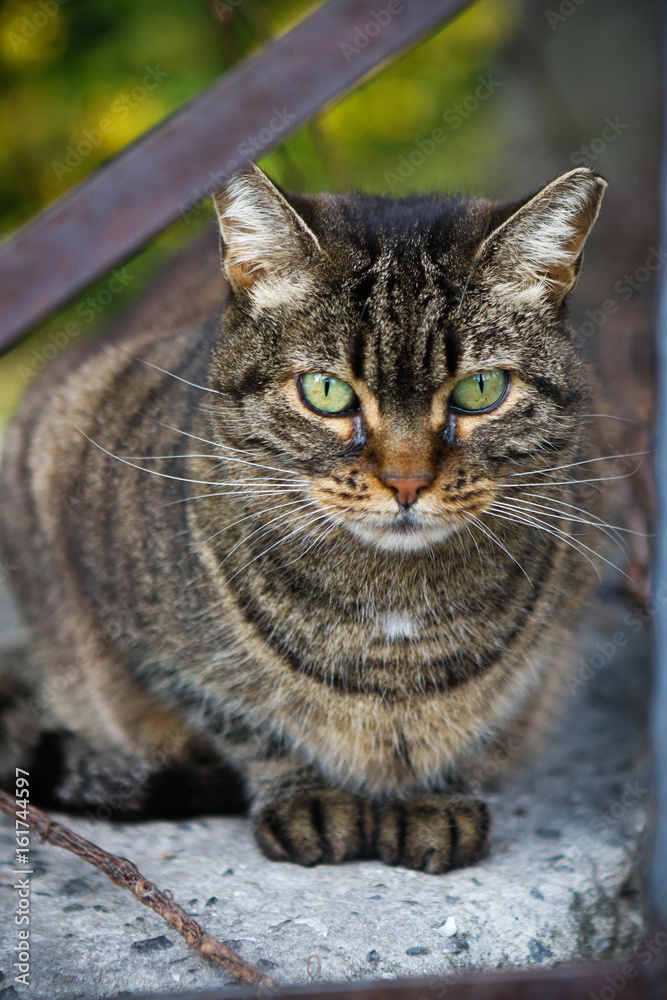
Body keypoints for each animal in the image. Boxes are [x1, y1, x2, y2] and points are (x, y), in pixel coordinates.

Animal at [0, 162, 604, 868]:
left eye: (480, 390)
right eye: (327, 391)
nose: (406, 481)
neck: (391, 613)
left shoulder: (545, 651)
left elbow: (481, 725)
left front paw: (434, 798)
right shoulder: (132, 621)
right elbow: (249, 720)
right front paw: (309, 797)